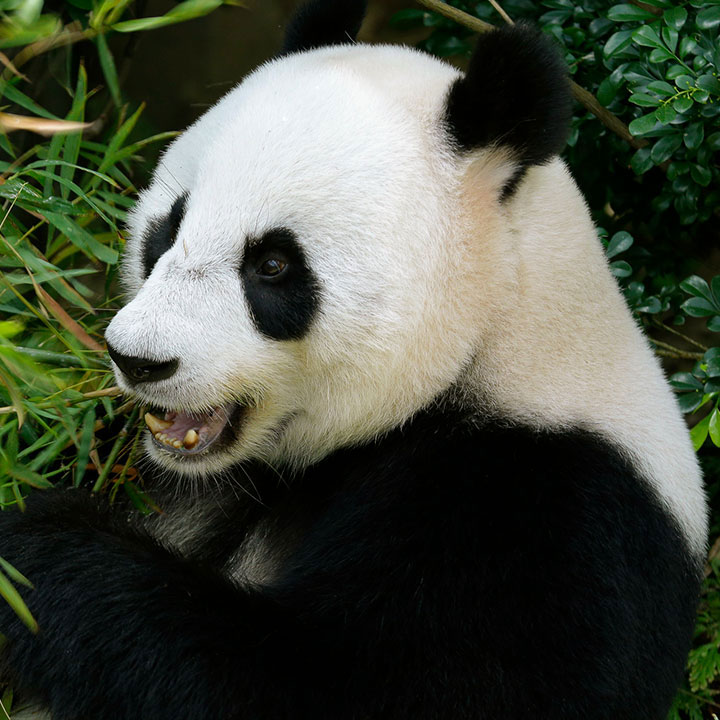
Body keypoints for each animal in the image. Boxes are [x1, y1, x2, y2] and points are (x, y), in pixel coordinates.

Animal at [0, 1, 708, 720]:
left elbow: (344, 684)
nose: (138, 360)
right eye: (168, 229)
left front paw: (36, 549)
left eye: (273, 264)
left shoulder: (544, 513)